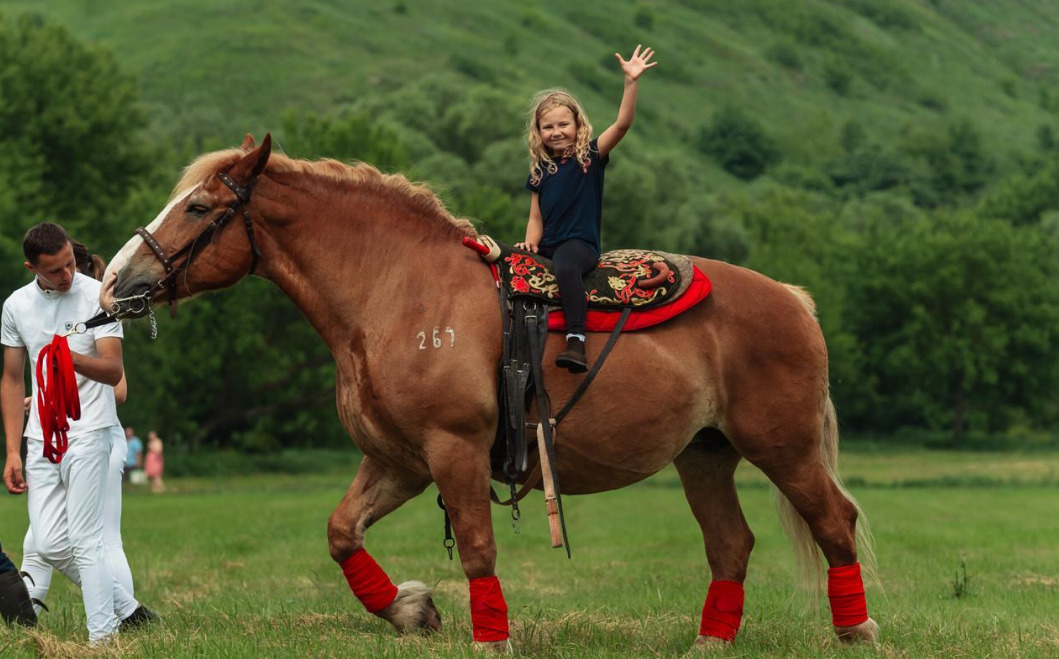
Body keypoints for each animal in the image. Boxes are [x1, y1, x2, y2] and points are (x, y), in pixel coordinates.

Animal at [101, 134, 876, 652]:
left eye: (198, 206)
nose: (113, 279)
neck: (402, 295)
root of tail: (791, 298)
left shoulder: (454, 453)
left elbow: (476, 548)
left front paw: (489, 636)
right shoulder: (398, 462)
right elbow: (342, 533)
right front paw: (411, 610)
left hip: (784, 448)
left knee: (834, 523)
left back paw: (857, 628)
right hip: (705, 455)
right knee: (731, 544)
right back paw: (711, 640)